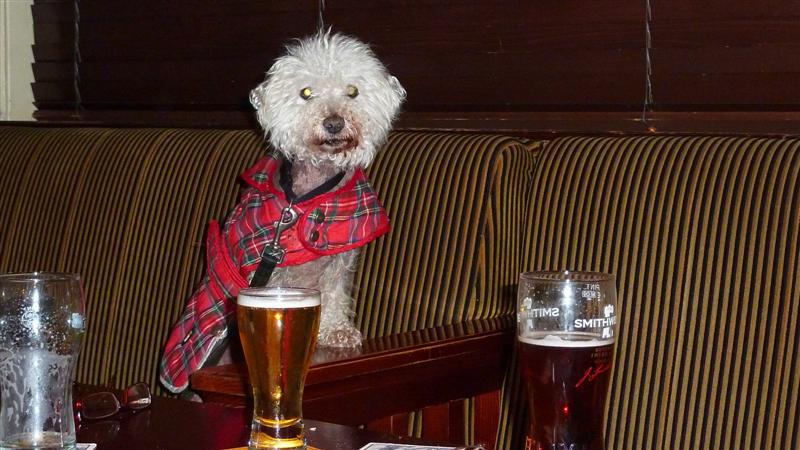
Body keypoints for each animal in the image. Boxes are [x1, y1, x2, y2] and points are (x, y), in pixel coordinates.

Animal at [159, 30, 406, 394]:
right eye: (306, 93)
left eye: (352, 91)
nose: (334, 123)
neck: (304, 198)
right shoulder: (268, 274)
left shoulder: (338, 261)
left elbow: (334, 294)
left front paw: (336, 331)